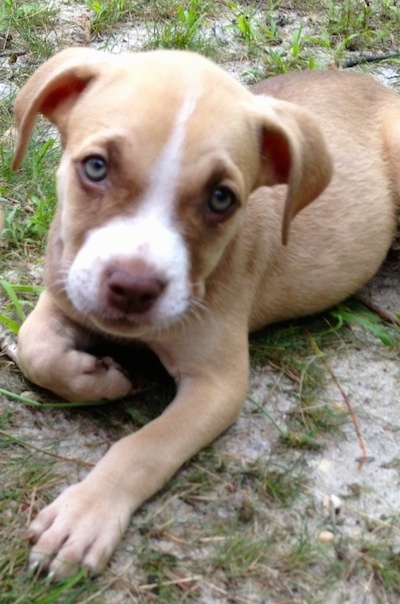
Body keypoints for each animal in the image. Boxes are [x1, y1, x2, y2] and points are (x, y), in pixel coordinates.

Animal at [12, 49, 400, 580]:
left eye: (221, 198)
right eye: (95, 167)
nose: (132, 287)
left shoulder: (218, 385)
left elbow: (144, 448)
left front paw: (84, 515)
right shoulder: (65, 286)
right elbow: (35, 350)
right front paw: (98, 377)